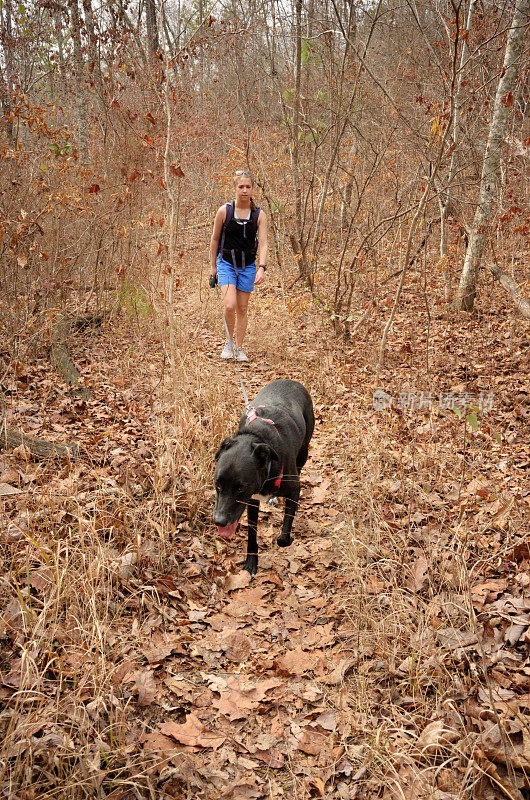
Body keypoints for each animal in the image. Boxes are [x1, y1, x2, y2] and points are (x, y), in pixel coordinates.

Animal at [214, 380, 314, 576]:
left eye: (240, 488)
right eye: (217, 484)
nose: (219, 521)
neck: (258, 437)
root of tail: (290, 380)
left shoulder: (293, 488)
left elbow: (283, 536)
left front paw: (288, 537)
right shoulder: (252, 501)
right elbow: (252, 533)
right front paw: (251, 562)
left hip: (304, 451)